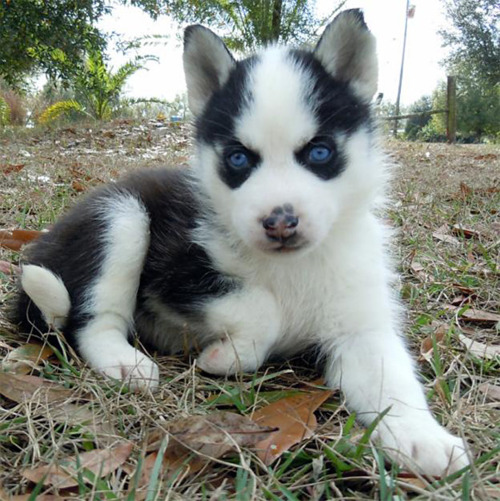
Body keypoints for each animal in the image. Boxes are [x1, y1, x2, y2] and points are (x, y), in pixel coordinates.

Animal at [14, 9, 468, 474]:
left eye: (319, 153)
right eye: (237, 158)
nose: (280, 223)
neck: (291, 267)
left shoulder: (361, 326)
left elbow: (391, 378)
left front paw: (421, 436)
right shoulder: (174, 277)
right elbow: (262, 307)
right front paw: (229, 354)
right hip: (122, 217)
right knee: (90, 319)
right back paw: (125, 362)